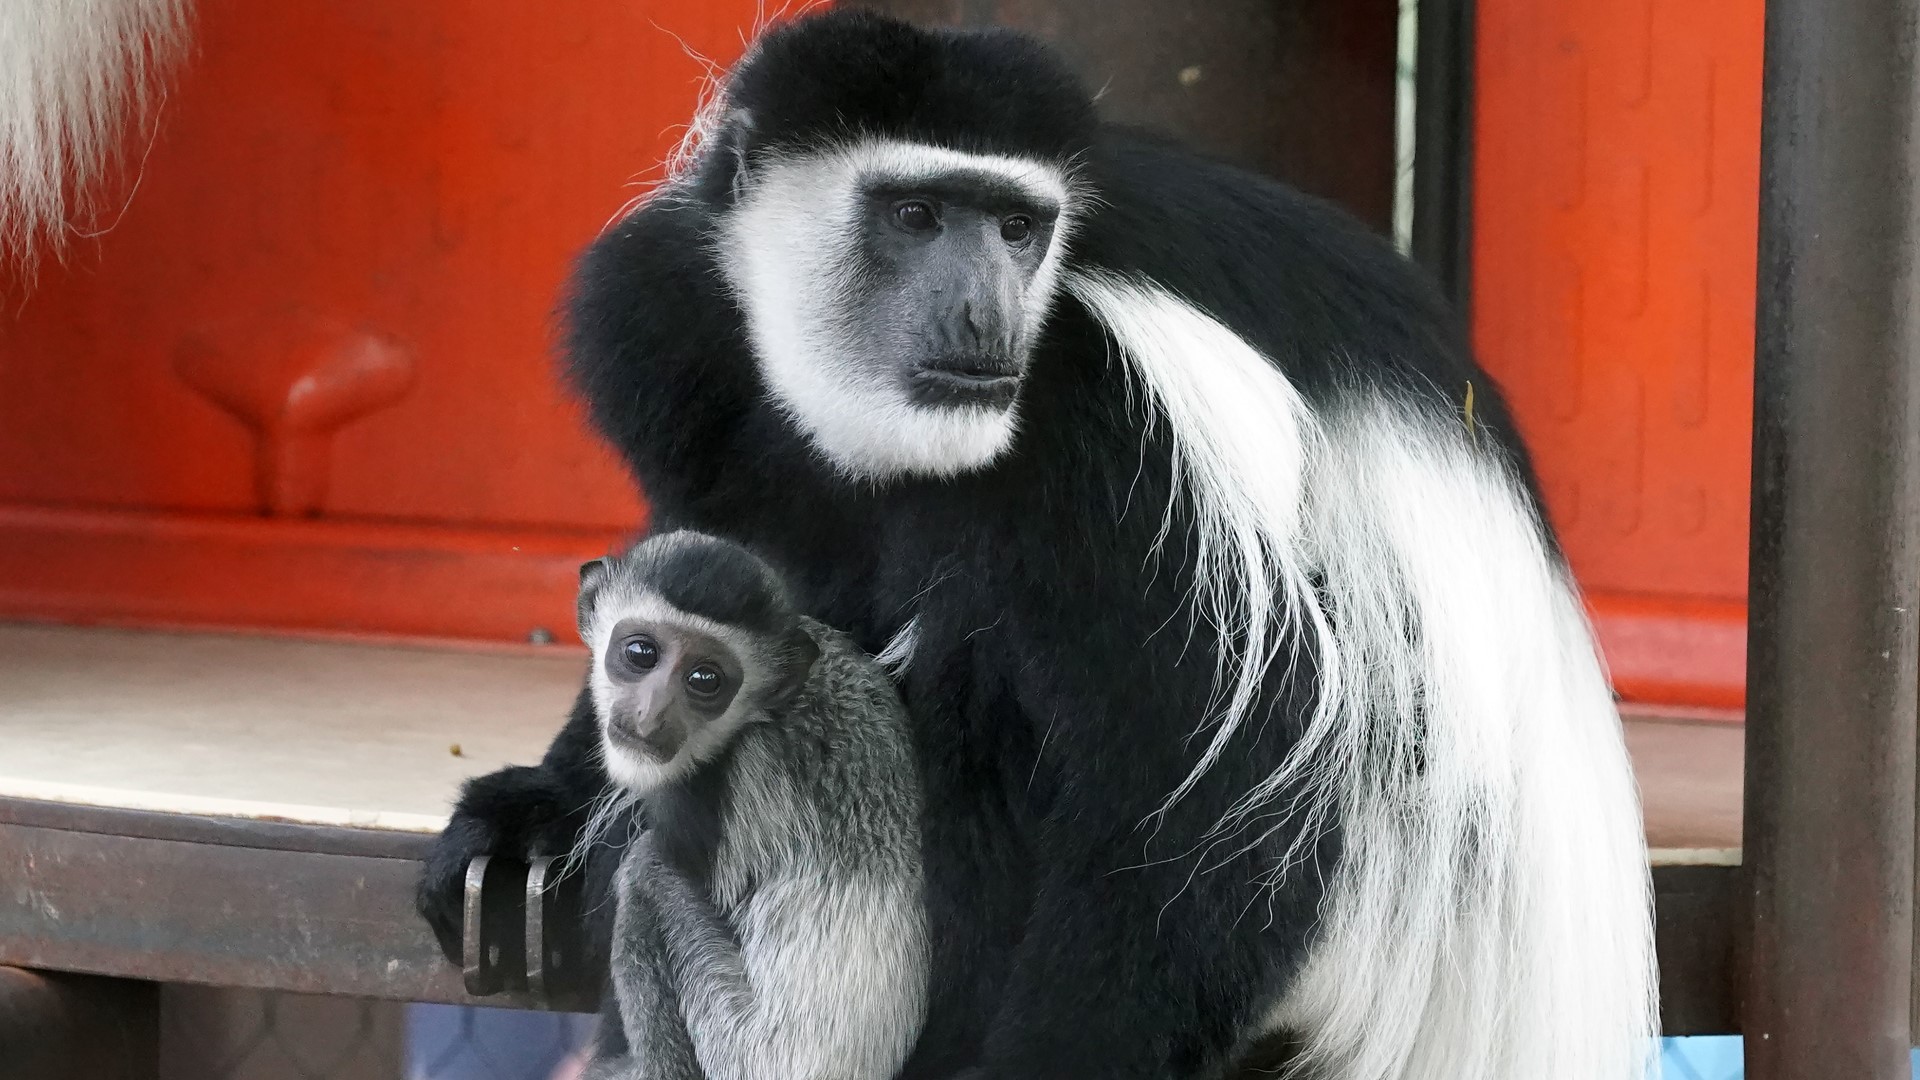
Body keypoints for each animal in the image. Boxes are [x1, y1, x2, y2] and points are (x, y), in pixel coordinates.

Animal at [572, 530, 925, 1076]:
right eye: (640, 652)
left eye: (704, 680)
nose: (650, 716)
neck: (764, 712)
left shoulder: (715, 794)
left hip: (733, 1037)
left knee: (644, 872)